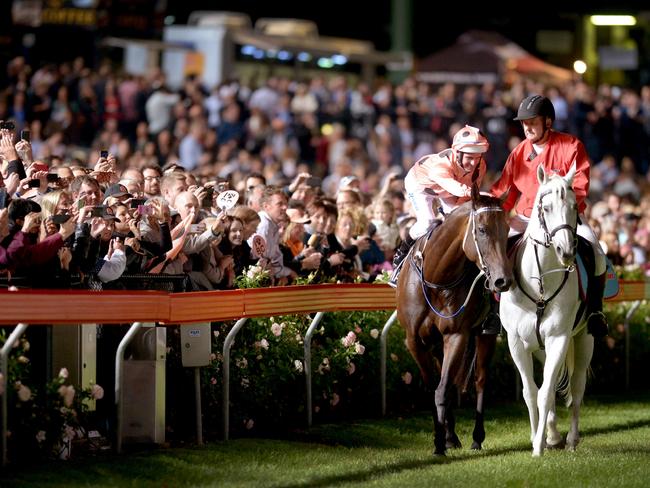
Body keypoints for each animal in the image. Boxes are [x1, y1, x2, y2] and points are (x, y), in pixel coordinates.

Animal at [496, 162, 592, 456]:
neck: (540, 283)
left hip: (585, 339)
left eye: (574, 206)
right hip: (538, 347)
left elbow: (547, 392)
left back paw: (571, 438)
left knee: (577, 387)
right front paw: (537, 436)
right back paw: (553, 433)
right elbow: (530, 392)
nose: (566, 250)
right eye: (546, 207)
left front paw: (538, 445)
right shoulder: (516, 342)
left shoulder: (559, 339)